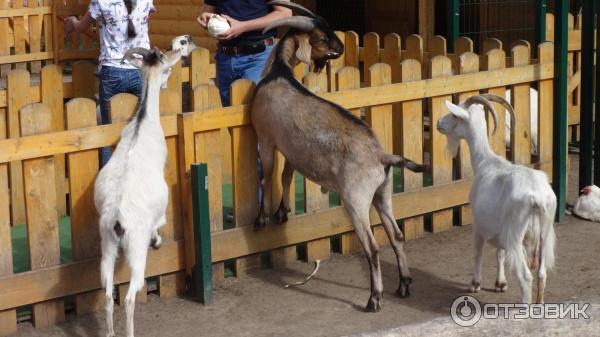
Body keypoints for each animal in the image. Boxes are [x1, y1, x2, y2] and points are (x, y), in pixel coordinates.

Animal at [95, 42, 191, 336]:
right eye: (167, 67)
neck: (142, 123)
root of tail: (117, 219)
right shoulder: (158, 213)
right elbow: (160, 223)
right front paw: (158, 239)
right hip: (136, 248)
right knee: (129, 296)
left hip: (107, 244)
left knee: (107, 293)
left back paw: (110, 332)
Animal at [251, 0, 428, 312]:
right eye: (322, 37)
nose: (341, 48)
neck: (278, 73)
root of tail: (382, 157)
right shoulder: (291, 150)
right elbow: (286, 175)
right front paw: (282, 212)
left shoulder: (265, 138)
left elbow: (268, 174)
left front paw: (261, 219)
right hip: (382, 193)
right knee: (396, 235)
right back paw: (404, 285)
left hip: (355, 199)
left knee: (372, 247)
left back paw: (374, 299)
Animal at [436, 93, 556, 304]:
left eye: (454, 115)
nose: (438, 123)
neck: (486, 162)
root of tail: (538, 197)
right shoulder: (500, 229)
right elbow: (499, 253)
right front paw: (500, 284)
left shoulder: (478, 224)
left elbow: (478, 253)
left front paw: (475, 284)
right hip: (545, 231)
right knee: (542, 272)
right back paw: (539, 303)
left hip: (517, 233)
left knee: (526, 276)